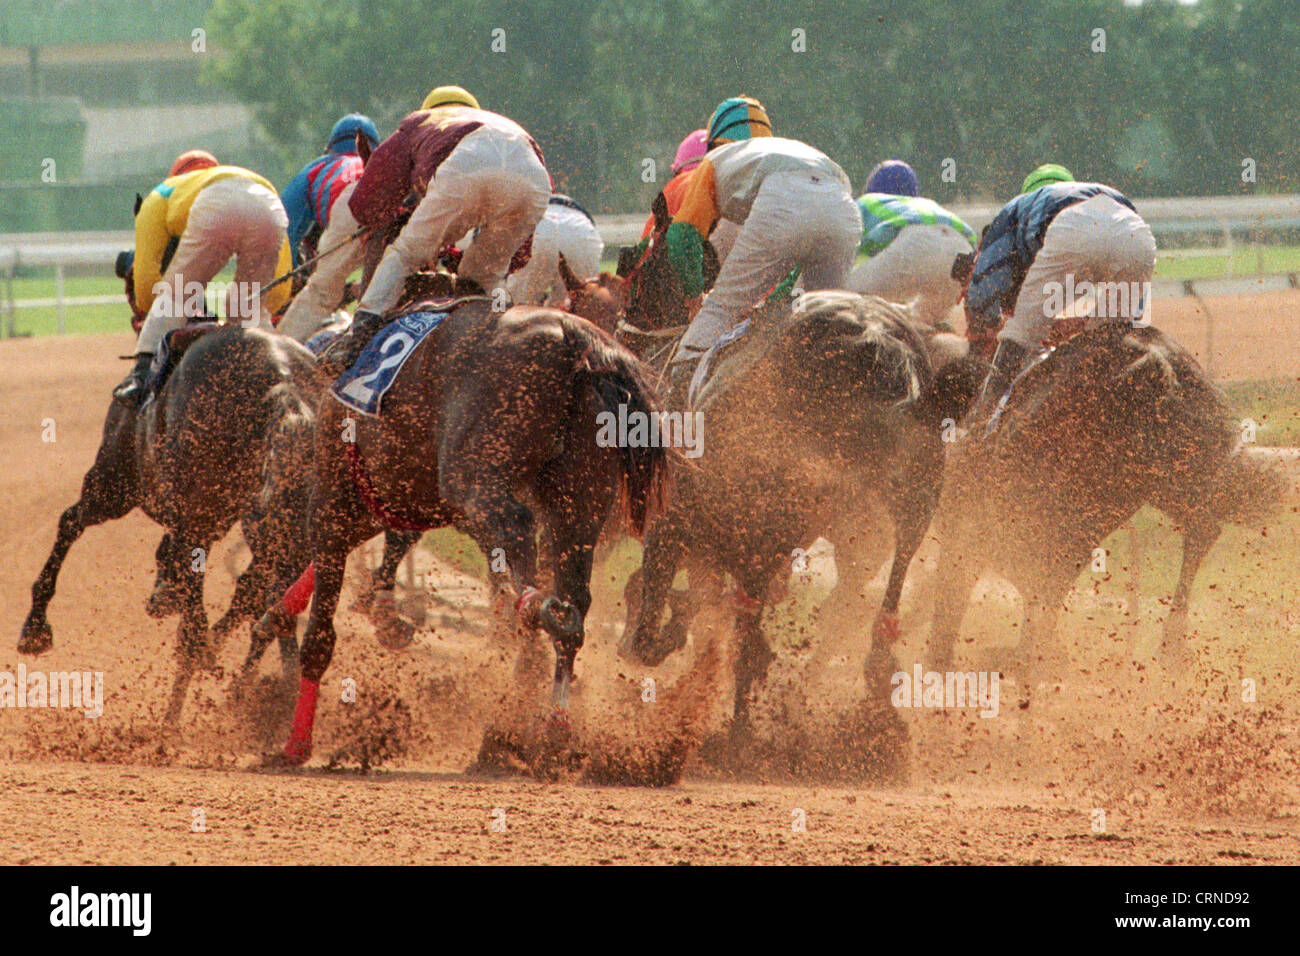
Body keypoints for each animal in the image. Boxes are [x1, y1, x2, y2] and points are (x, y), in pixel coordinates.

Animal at [19, 325, 320, 724]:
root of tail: (283, 383)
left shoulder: (123, 480)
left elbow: (71, 523)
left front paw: (35, 627)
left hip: (143, 494)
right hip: (281, 529)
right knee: (265, 594)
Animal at [260, 296, 670, 763]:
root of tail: (574, 340)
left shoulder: (334, 501)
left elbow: (320, 635)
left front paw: (297, 742)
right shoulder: (394, 503)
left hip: (475, 480)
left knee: (518, 530)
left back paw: (535, 612)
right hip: (579, 499)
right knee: (573, 598)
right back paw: (552, 722)